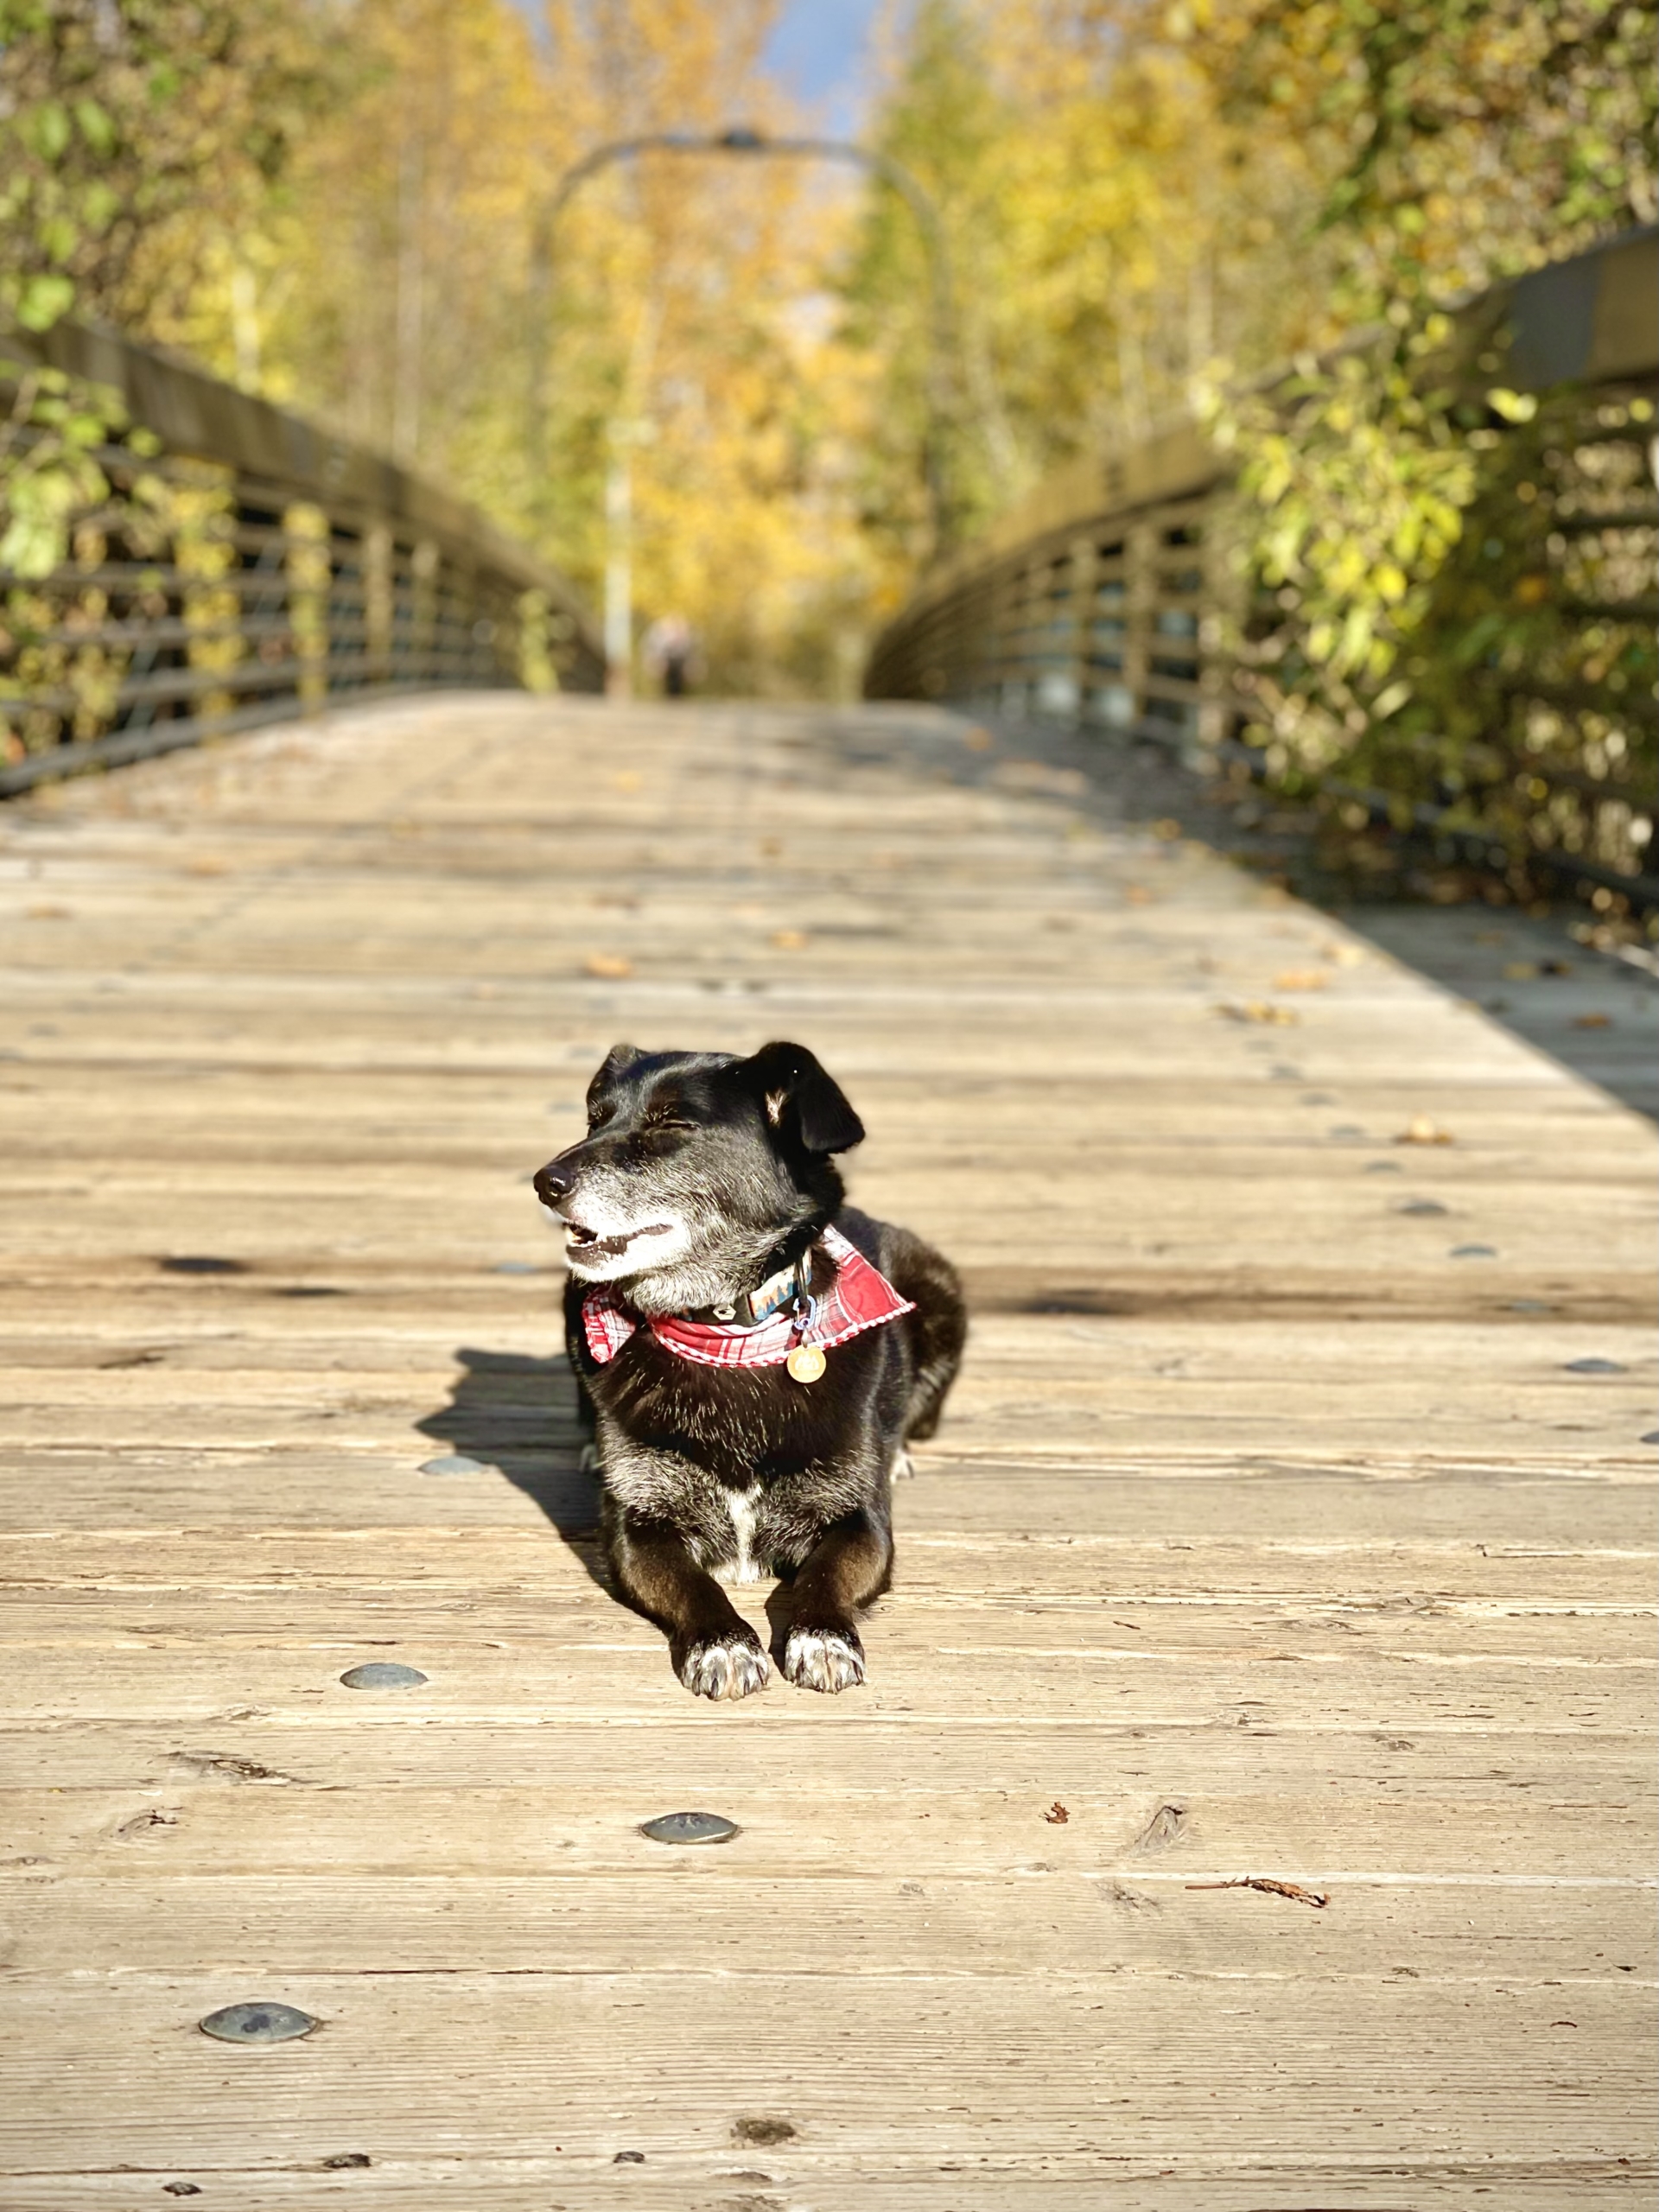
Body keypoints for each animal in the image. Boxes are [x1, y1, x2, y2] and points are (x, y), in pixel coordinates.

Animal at [539, 1044, 969, 1699]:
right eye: (595, 1119)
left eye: (671, 1124)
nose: (545, 1182)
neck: (727, 1332)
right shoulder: (639, 1528)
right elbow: (696, 1585)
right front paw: (724, 1644)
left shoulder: (862, 1521)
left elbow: (824, 1577)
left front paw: (822, 1637)